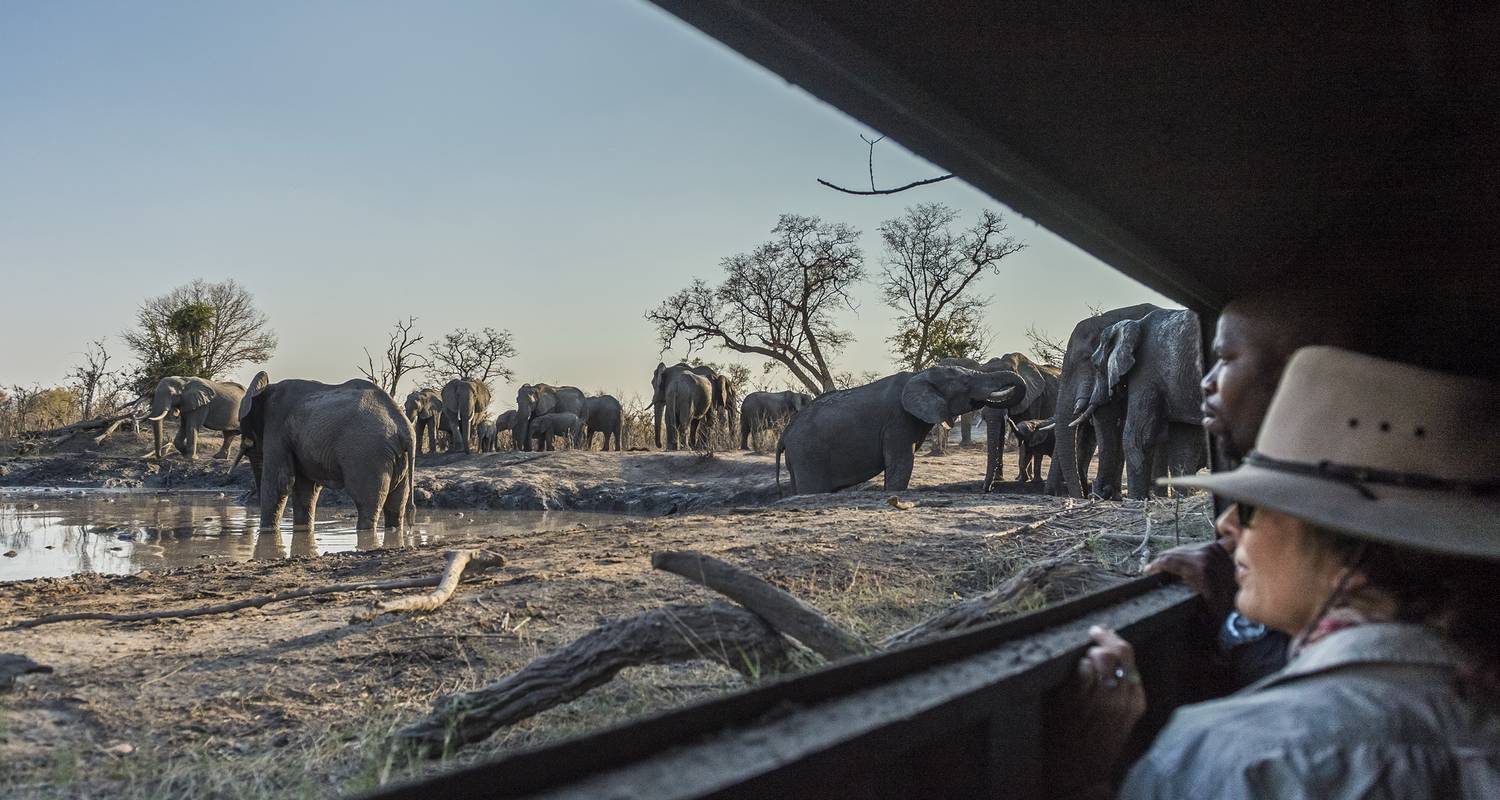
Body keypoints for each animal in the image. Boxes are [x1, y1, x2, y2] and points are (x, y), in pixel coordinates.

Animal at [236, 372, 415, 531]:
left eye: (249, 441)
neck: (266, 388)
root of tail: (404, 426)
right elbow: (305, 488)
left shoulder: (276, 425)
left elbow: (279, 481)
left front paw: (266, 531)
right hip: (398, 458)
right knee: (396, 505)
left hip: (368, 455)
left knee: (366, 503)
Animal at [775, 365, 1029, 494]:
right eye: (966, 382)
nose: (987, 490)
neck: (920, 375)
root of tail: (785, 434)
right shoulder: (897, 421)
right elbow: (901, 464)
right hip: (808, 454)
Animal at [1074, 308, 1208, 498]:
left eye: (1096, 366)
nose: (1100, 492)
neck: (1134, 325)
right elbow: (1184, 442)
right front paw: (1181, 498)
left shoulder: (1145, 372)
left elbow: (1137, 435)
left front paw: (1136, 499)